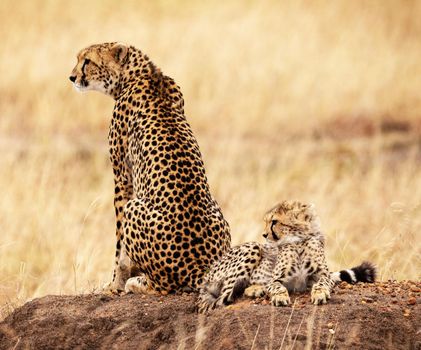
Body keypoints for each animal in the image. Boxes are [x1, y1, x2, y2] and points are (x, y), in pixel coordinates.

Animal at [70, 43, 231, 296]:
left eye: (87, 61)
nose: (72, 77)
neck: (142, 73)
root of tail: (199, 269)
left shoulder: (122, 176)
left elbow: (119, 246)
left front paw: (115, 283)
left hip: (134, 208)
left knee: (162, 286)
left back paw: (136, 283)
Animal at [197, 201, 374, 314]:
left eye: (274, 222)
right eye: (267, 222)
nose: (264, 235)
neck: (299, 241)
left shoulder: (320, 275)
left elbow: (323, 282)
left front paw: (319, 293)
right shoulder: (276, 278)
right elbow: (276, 285)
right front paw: (280, 297)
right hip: (253, 247)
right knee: (219, 299)